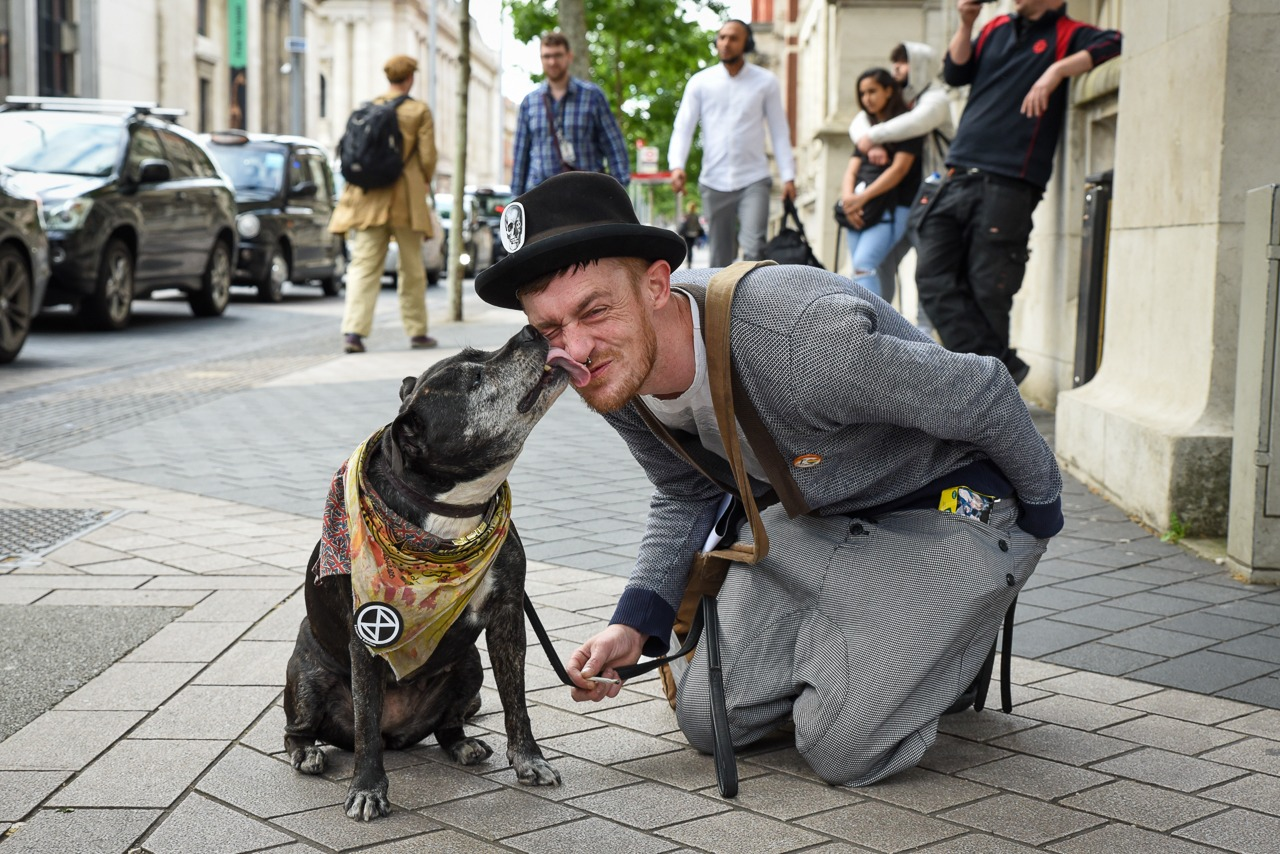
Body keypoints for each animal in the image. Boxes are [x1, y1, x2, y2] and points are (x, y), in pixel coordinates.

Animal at [283, 325, 590, 821]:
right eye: (475, 380)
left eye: (479, 355)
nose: (530, 329)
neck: (449, 512)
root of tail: (399, 736)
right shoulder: (366, 637)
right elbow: (365, 726)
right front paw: (367, 788)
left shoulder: (508, 617)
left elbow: (516, 700)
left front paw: (530, 760)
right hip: (307, 681)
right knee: (300, 729)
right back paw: (307, 753)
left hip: (468, 666)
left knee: (448, 724)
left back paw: (463, 745)